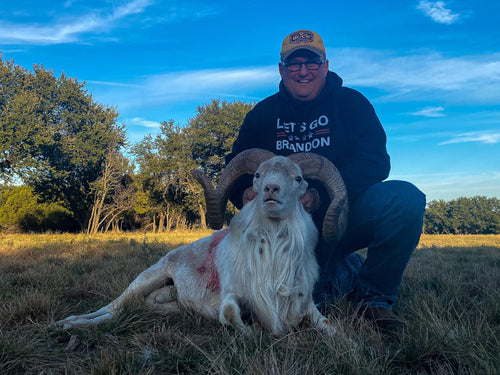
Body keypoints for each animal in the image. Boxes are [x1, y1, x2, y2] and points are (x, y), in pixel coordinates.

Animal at [55, 148, 348, 336]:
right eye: (258, 175)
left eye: (298, 178)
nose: (271, 189)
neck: (272, 261)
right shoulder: (232, 296)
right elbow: (229, 314)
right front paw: (253, 330)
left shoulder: (304, 304)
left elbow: (331, 328)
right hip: (145, 279)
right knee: (110, 308)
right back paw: (68, 324)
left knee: (124, 311)